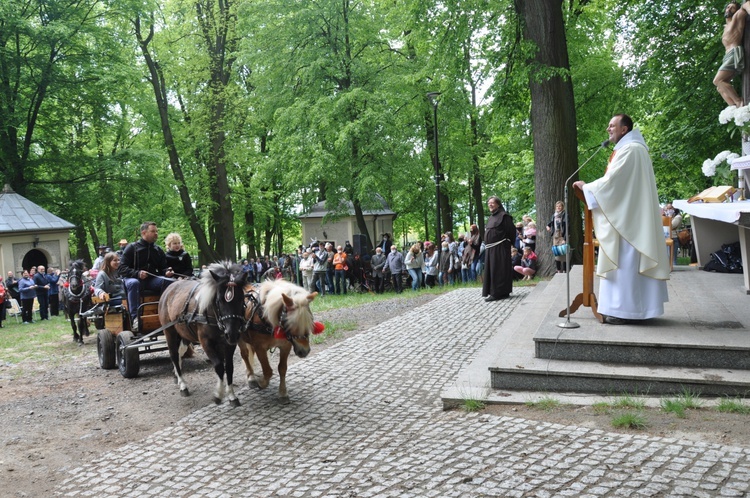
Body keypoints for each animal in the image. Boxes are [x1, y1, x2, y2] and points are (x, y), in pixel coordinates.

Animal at [159, 258, 250, 406]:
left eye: (241, 298)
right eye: (219, 300)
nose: (232, 334)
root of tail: (170, 287)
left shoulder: (228, 344)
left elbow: (229, 367)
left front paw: (231, 395)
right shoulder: (206, 342)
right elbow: (219, 366)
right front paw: (218, 394)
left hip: (184, 334)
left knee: (180, 352)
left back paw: (177, 376)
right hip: (169, 331)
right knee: (173, 354)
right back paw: (183, 385)